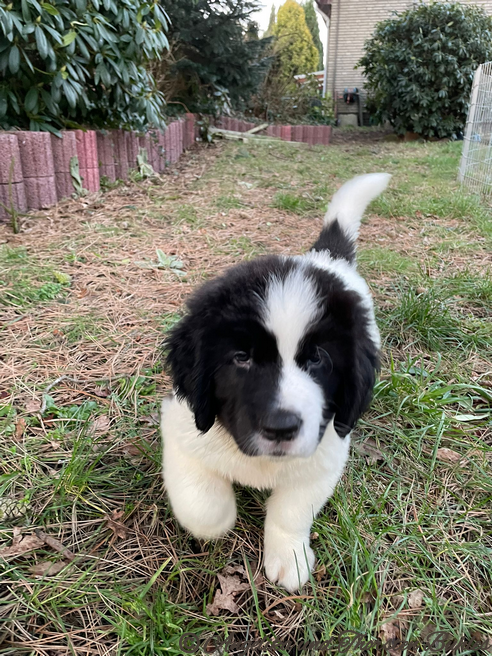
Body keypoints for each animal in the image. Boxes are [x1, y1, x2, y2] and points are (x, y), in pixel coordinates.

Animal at [161, 173, 391, 592]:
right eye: (242, 358)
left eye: (317, 358)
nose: (281, 428)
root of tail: (326, 258)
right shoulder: (182, 427)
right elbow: (203, 506)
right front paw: (220, 521)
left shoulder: (325, 454)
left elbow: (292, 511)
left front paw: (289, 557)